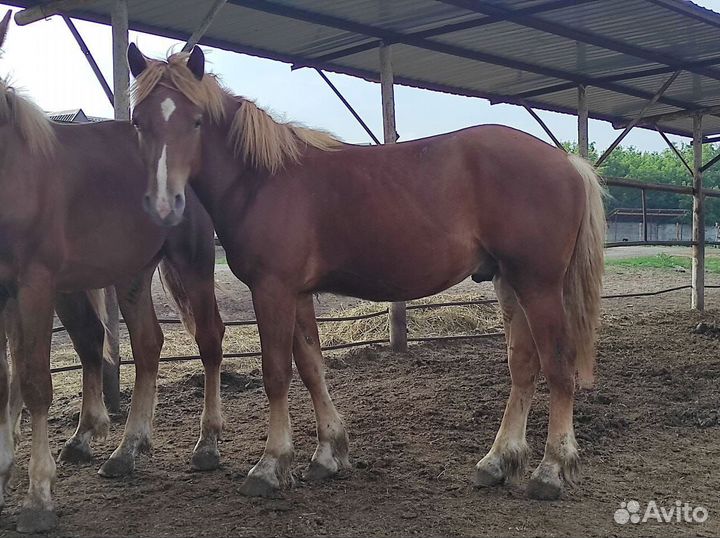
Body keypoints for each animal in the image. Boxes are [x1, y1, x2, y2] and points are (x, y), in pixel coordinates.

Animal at [0, 16, 224, 532]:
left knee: (209, 339)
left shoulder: (34, 285)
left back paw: (206, 444)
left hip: (193, 260)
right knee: (146, 345)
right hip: (131, 275)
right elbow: (8, 379)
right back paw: (126, 450)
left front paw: (38, 497)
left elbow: (34, 382)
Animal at [131, 44, 608, 500]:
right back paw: (497, 461)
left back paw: (551, 470)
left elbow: (276, 373)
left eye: (196, 121)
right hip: (509, 282)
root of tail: (567, 162)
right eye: (138, 122)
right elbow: (312, 368)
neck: (261, 179)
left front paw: (269, 465)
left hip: (539, 284)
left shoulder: (272, 290)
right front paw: (327, 453)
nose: (164, 206)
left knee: (558, 366)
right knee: (523, 365)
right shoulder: (298, 294)